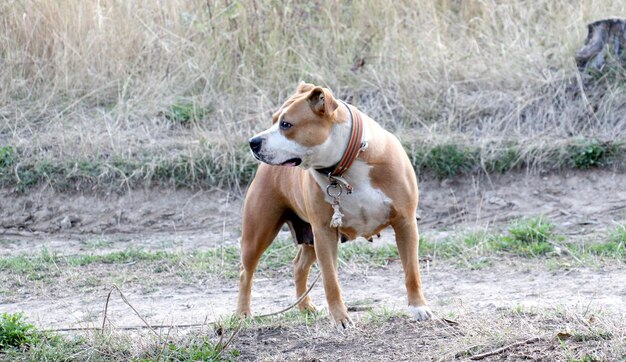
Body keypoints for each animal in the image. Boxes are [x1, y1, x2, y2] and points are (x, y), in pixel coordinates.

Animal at [234, 82, 428, 328]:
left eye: (286, 124)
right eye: (274, 120)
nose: (253, 142)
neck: (347, 167)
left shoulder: (405, 222)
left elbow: (412, 271)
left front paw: (419, 307)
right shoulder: (324, 232)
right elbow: (330, 280)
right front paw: (340, 319)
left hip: (308, 236)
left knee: (299, 266)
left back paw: (305, 307)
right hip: (259, 232)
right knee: (245, 273)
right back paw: (243, 313)